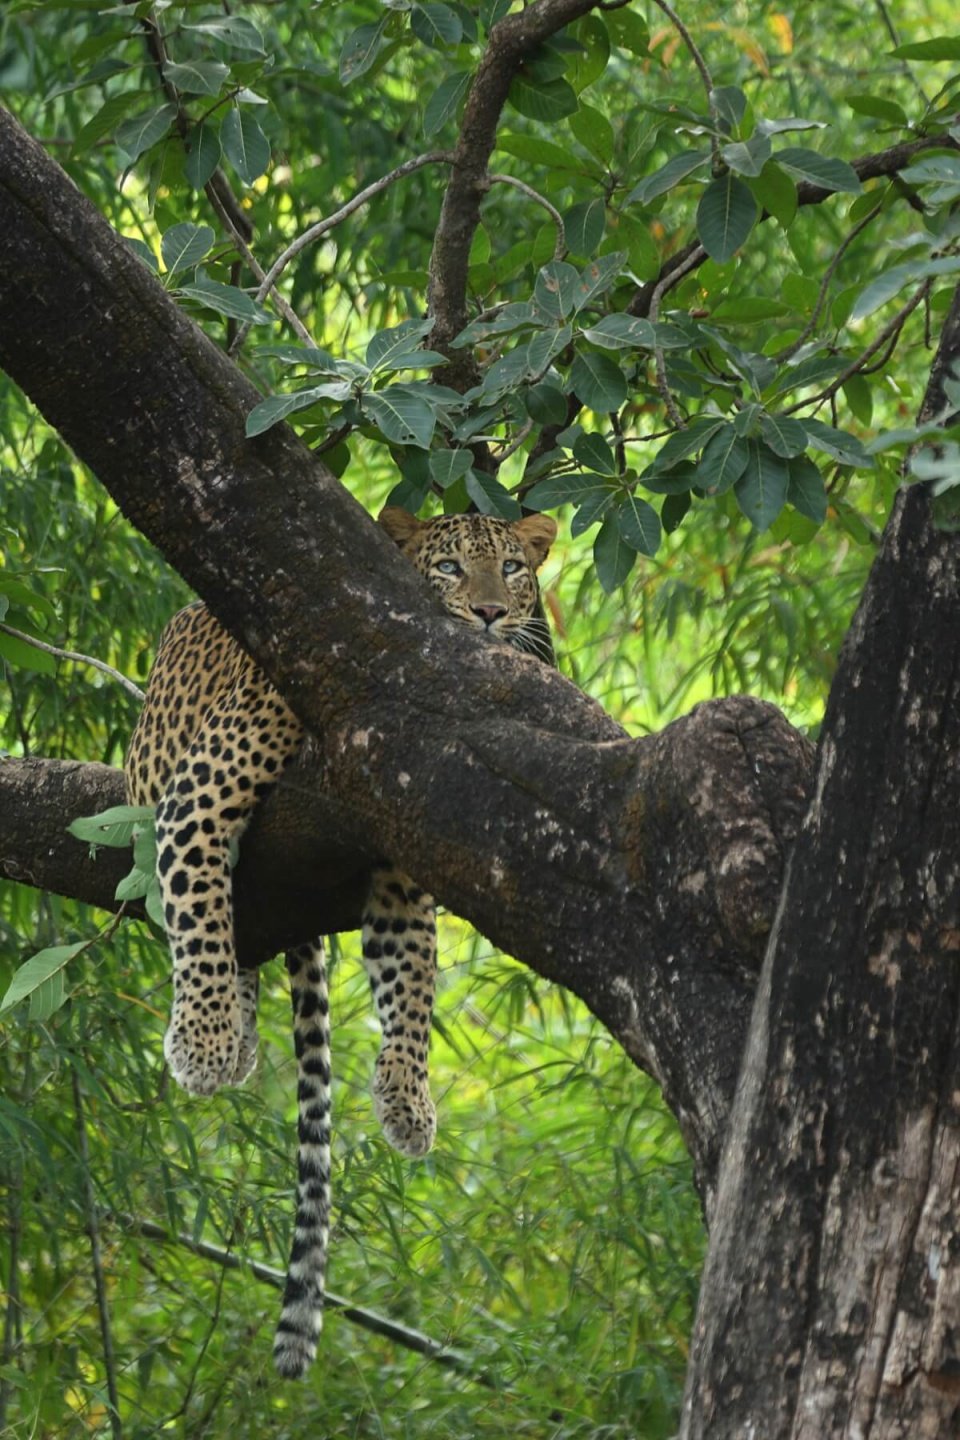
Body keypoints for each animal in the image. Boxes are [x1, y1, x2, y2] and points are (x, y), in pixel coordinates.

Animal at [122, 501, 555, 1376]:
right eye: (448, 568)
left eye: (513, 569)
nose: (491, 614)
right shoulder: (197, 796)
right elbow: (197, 908)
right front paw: (204, 1043)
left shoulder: (400, 867)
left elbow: (412, 985)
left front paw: (407, 1100)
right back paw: (229, 1035)